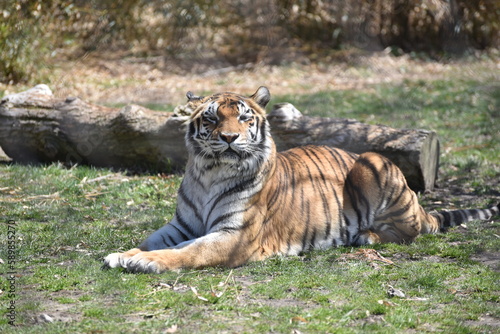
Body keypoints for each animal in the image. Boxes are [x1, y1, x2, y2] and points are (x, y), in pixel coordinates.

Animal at [103, 87, 498, 274]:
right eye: (212, 119)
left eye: (244, 118)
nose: (229, 138)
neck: (210, 173)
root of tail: (421, 206)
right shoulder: (181, 226)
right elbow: (154, 240)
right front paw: (125, 254)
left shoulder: (233, 237)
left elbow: (190, 251)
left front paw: (147, 262)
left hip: (372, 162)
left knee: (411, 231)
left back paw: (367, 236)